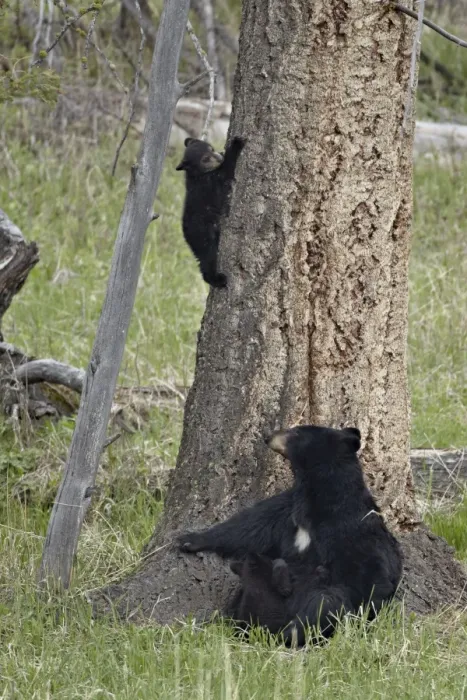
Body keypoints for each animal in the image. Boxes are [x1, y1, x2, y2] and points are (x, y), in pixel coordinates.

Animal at [175, 136, 245, 288]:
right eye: (205, 159)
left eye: (211, 148)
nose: (218, 156)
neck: (198, 174)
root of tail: (186, 235)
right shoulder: (211, 180)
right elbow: (227, 170)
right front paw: (237, 143)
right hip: (204, 234)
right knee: (208, 258)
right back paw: (218, 279)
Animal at [178, 424, 403, 645]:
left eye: (296, 431)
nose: (268, 436)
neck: (318, 495)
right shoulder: (288, 508)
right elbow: (250, 526)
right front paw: (188, 540)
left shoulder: (353, 528)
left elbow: (372, 574)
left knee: (323, 604)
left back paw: (289, 632)